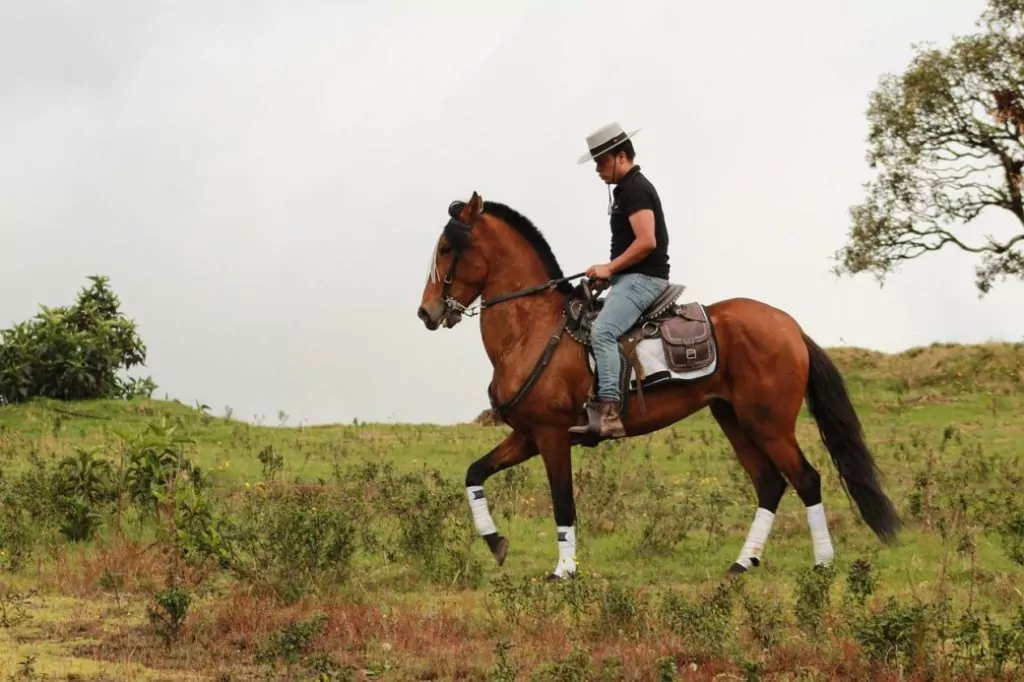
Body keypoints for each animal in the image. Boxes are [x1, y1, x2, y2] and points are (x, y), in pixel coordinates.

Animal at [413, 189, 897, 577]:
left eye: (446, 247)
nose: (426, 312)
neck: (532, 328)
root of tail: (790, 328)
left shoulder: (551, 436)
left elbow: (563, 502)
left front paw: (564, 570)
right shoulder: (527, 436)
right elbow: (474, 473)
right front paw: (495, 543)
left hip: (770, 425)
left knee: (807, 480)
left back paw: (823, 564)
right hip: (734, 419)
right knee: (770, 485)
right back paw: (743, 563)